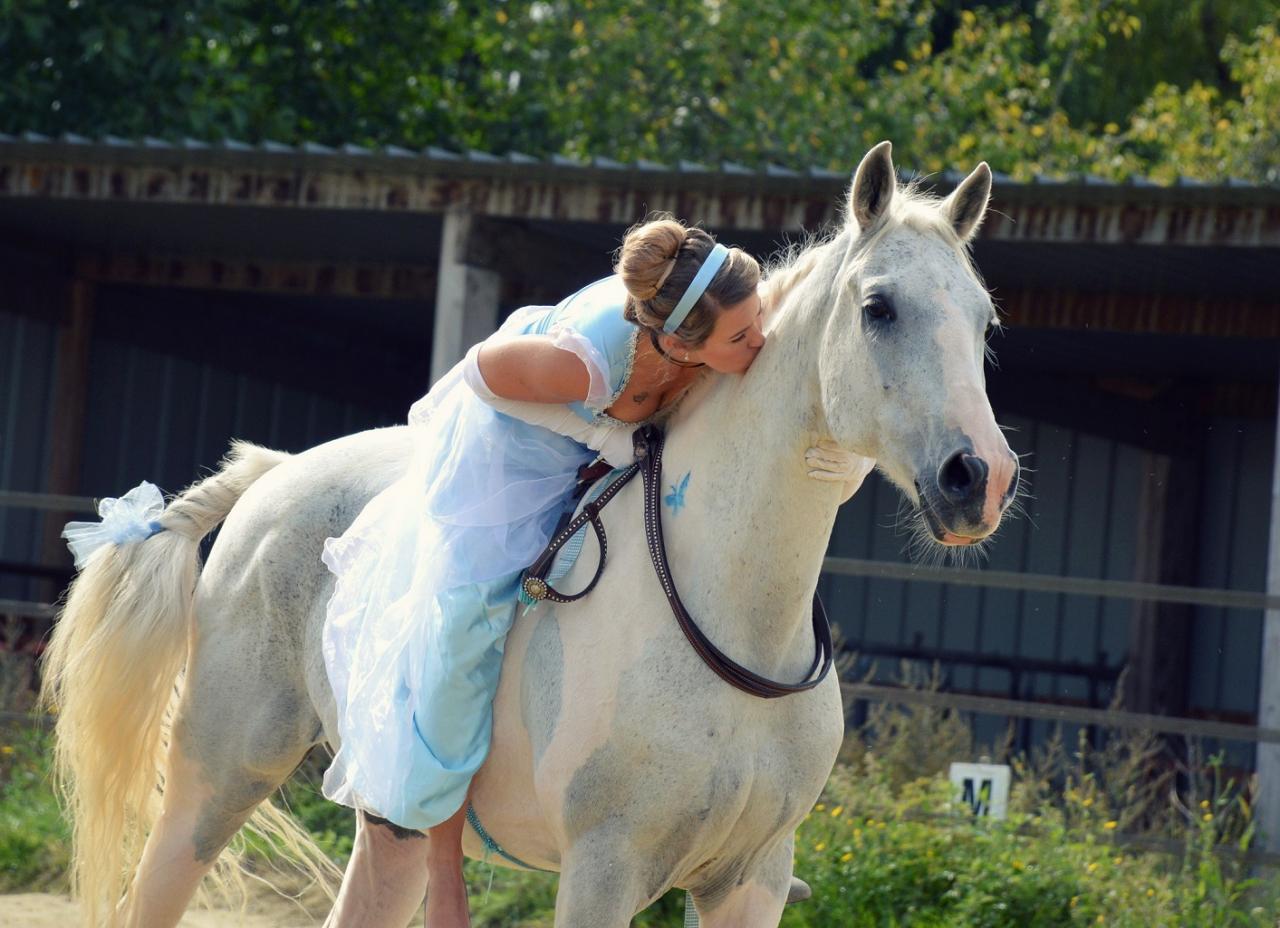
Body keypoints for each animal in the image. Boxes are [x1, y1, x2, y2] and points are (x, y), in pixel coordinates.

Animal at [42, 139, 1018, 926]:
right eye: (879, 308)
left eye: (984, 319)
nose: (980, 479)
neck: (730, 616)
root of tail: (274, 475)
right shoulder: (603, 871)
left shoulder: (752, 881)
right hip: (217, 780)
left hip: (385, 822)